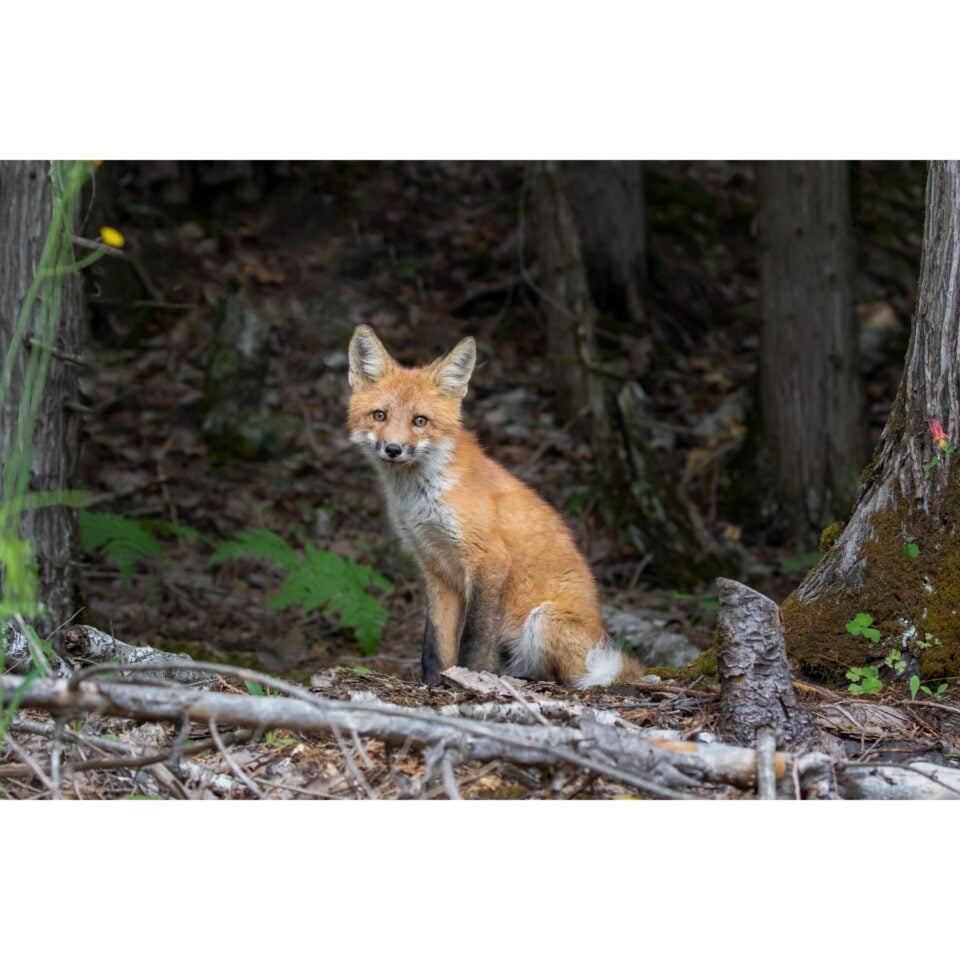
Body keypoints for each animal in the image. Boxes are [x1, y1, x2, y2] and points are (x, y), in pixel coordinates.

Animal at [347, 324, 648, 688]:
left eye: (420, 421)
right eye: (380, 415)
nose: (393, 449)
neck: (421, 498)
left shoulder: (488, 558)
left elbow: (474, 637)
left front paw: (468, 677)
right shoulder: (435, 568)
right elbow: (434, 642)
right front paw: (432, 683)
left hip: (543, 621)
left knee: (570, 676)